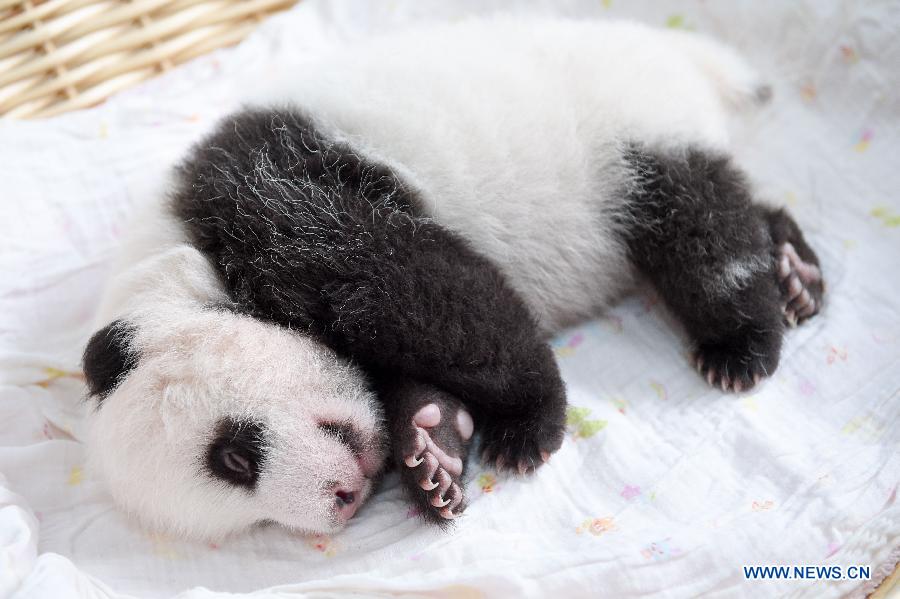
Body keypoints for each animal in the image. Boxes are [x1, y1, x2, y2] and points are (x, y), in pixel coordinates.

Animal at [81, 18, 824, 540]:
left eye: (235, 456)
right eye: (253, 512)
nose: (341, 499)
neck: (174, 248)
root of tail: (687, 56)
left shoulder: (266, 196)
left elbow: (416, 287)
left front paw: (528, 420)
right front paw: (432, 450)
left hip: (633, 126)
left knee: (697, 222)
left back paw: (743, 339)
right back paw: (794, 270)